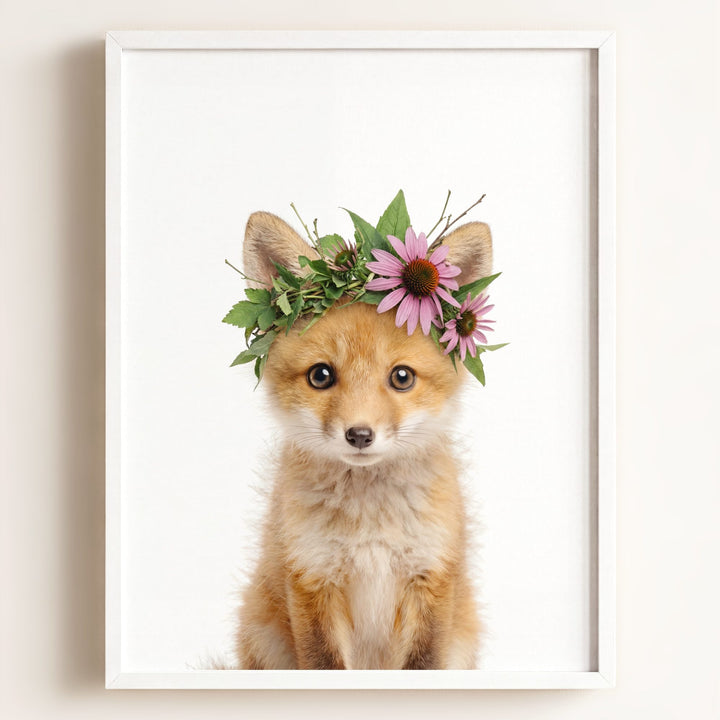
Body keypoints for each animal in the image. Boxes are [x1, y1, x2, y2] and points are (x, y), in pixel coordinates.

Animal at [235, 210, 493, 670]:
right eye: (321, 375)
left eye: (402, 377)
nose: (359, 435)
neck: (370, 527)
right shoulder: (312, 577)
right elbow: (324, 664)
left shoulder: (430, 578)